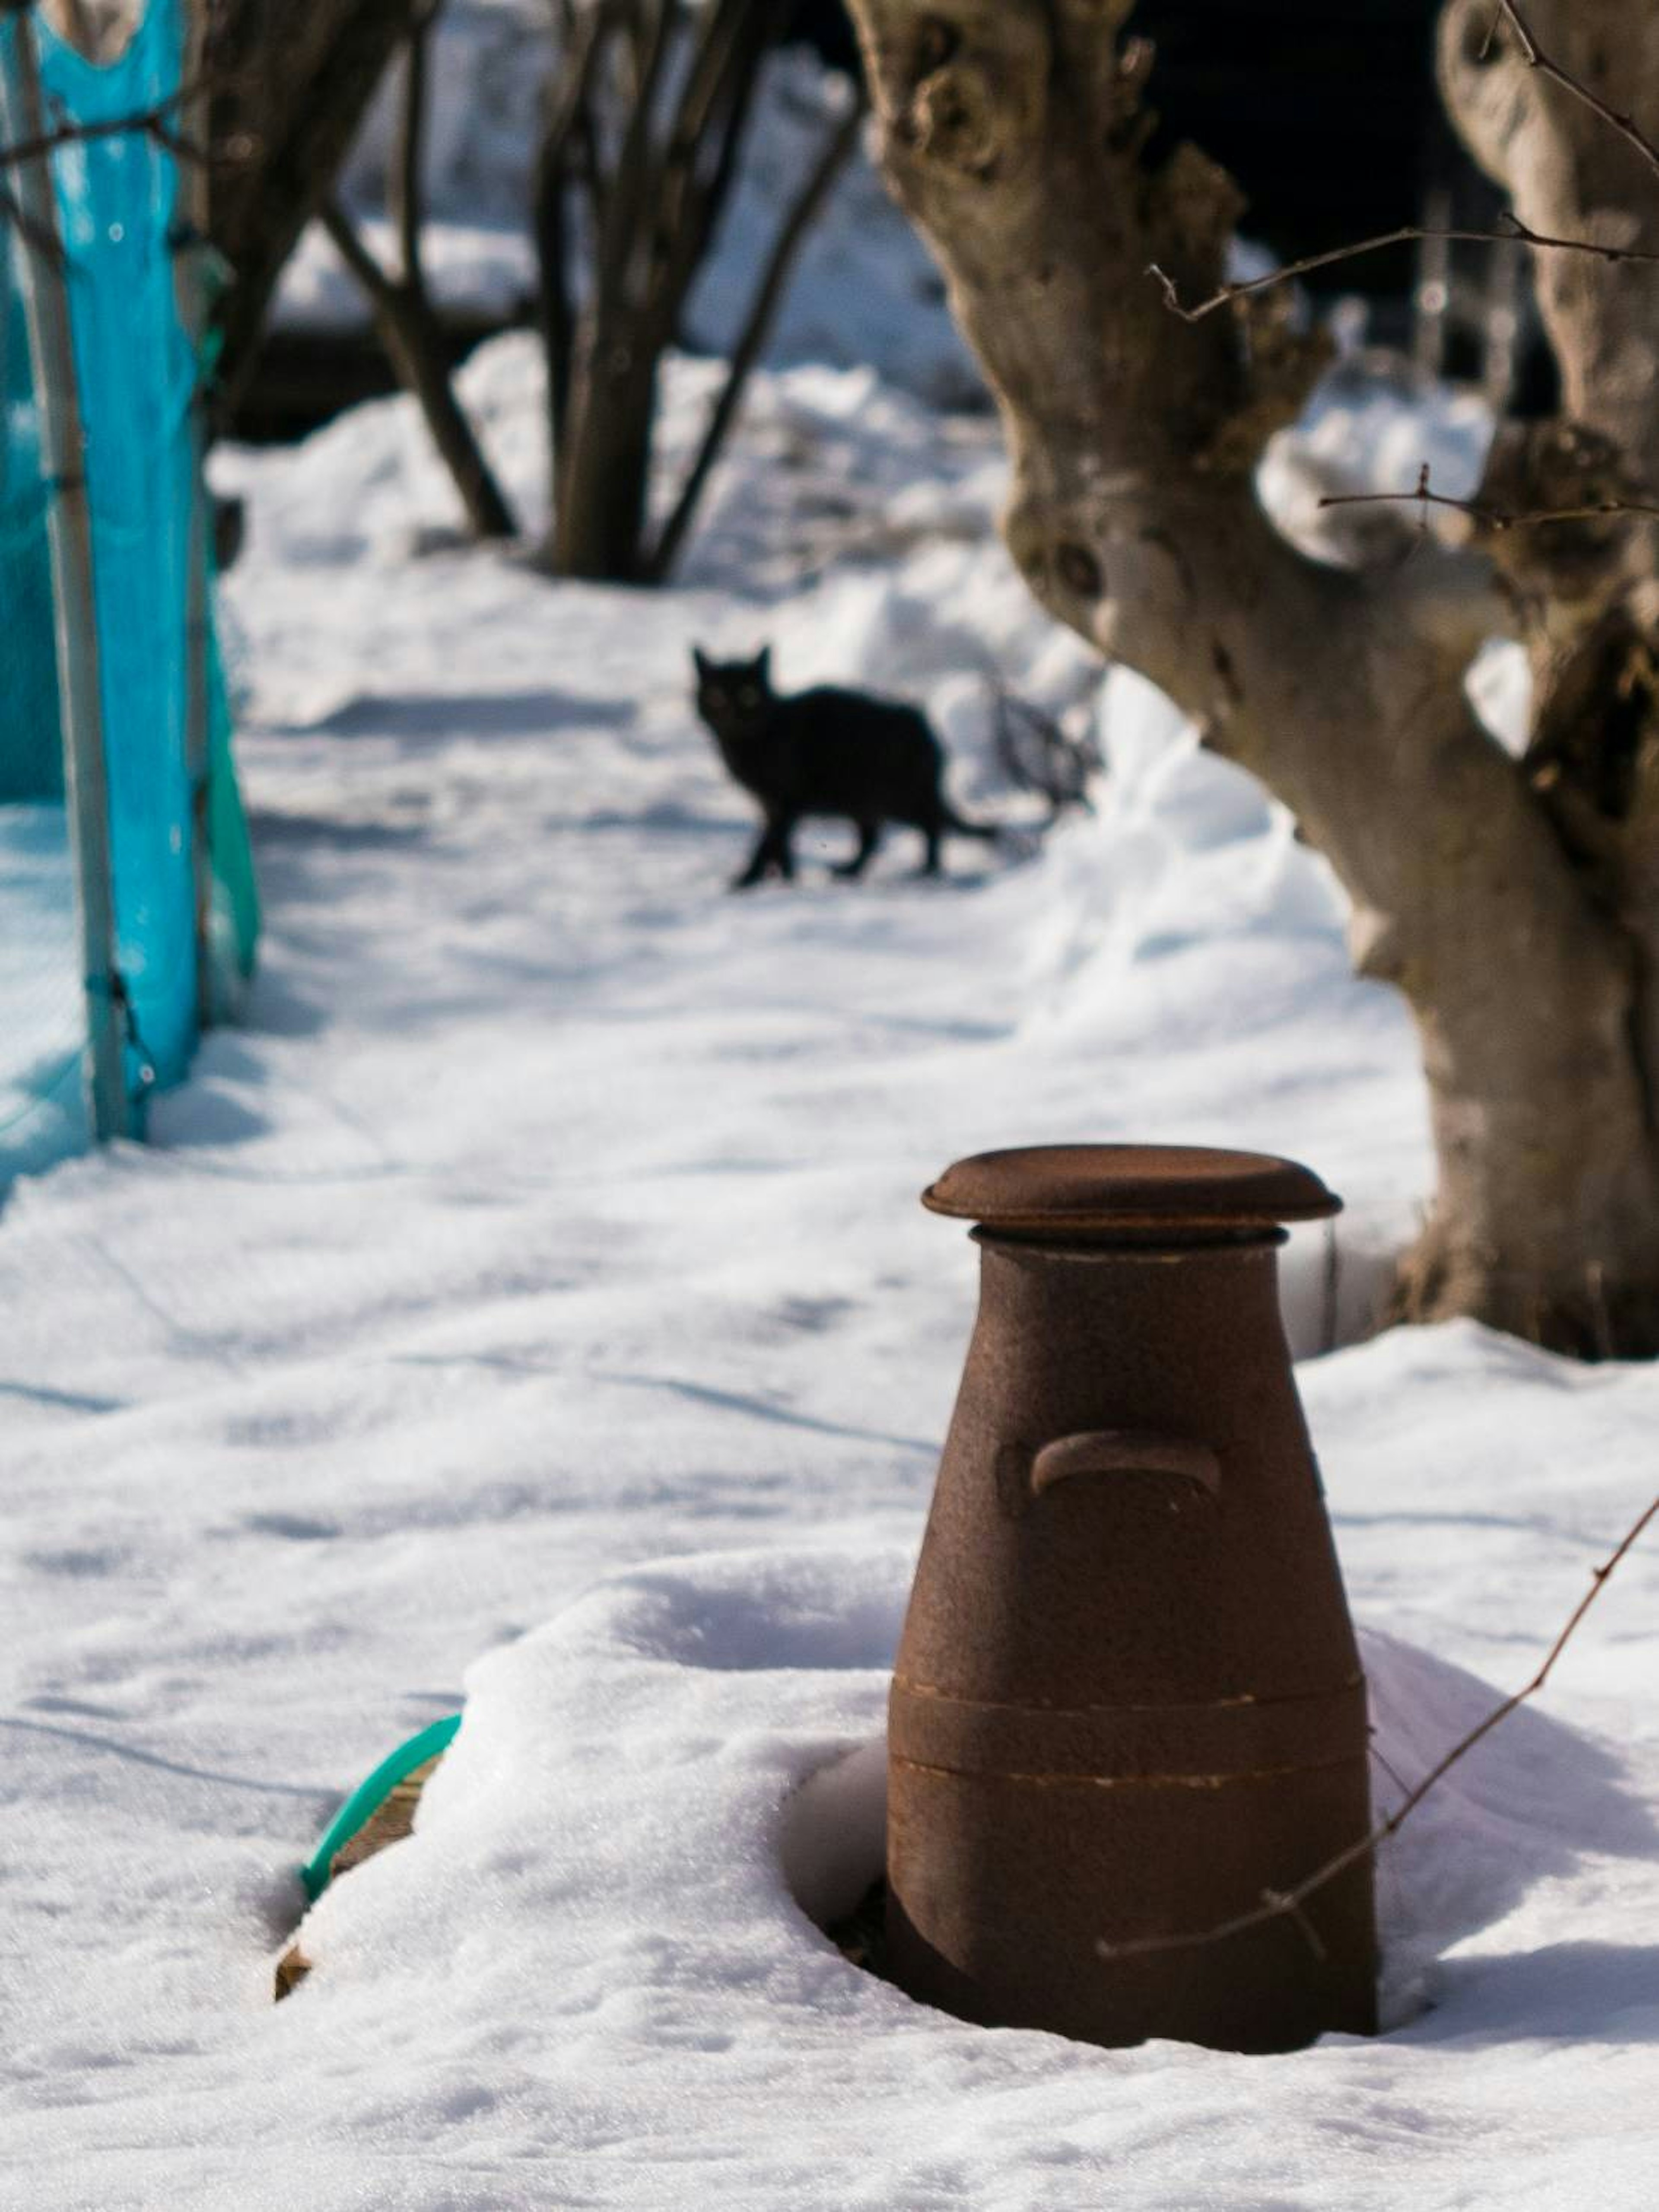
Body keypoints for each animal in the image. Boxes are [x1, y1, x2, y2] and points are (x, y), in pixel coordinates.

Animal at [690, 646, 1000, 885]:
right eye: (716, 696)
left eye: (748, 695)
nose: (733, 715)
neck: (748, 744)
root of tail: (927, 729)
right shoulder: (771, 804)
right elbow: (779, 843)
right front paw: (786, 878)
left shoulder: (786, 800)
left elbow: (768, 842)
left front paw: (749, 880)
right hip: (865, 800)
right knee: (874, 838)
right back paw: (849, 871)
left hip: (895, 795)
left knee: (932, 824)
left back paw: (927, 870)